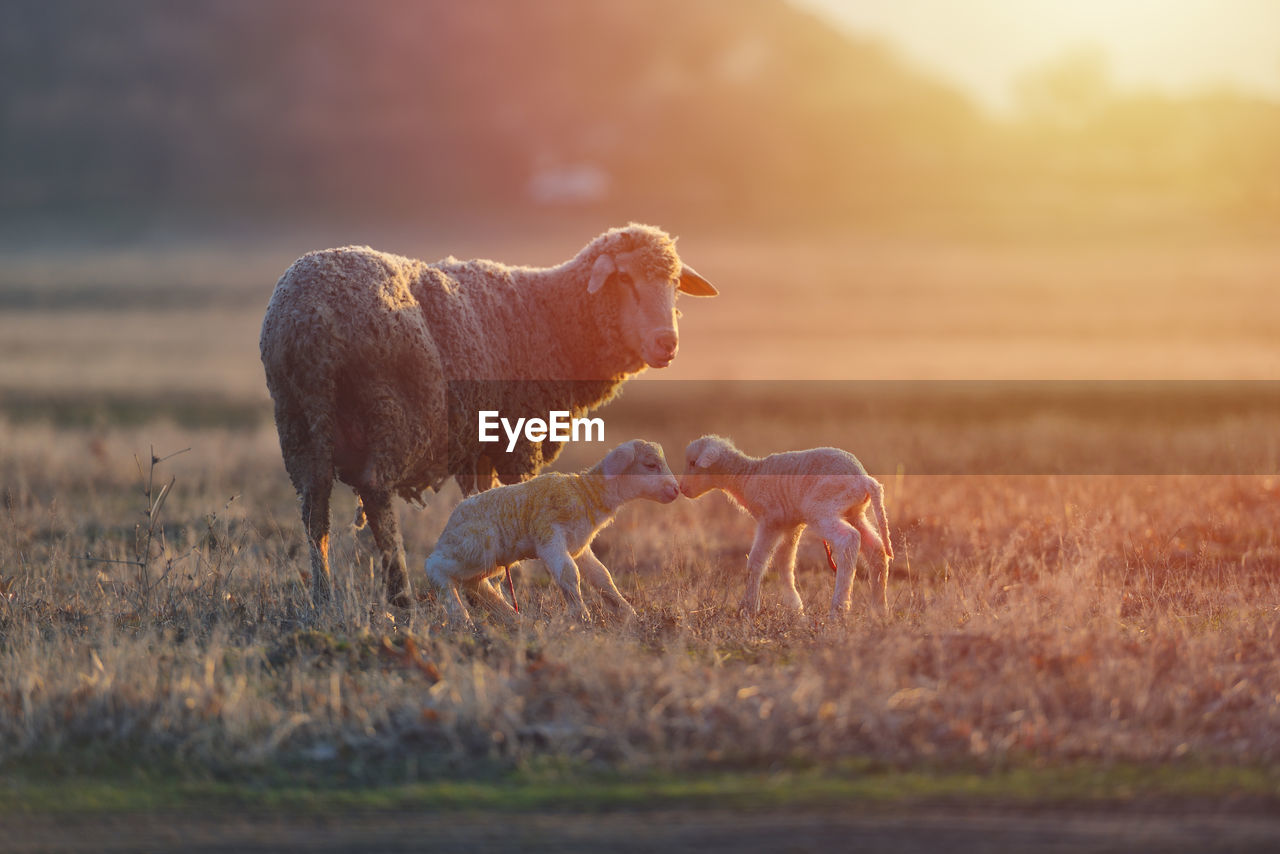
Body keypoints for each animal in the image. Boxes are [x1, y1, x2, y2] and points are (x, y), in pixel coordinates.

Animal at [259, 220, 721, 606]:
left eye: (675, 284)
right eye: (624, 278)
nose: (666, 343)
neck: (550, 318)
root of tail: (306, 321)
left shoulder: (478, 445)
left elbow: (482, 498)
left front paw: (495, 580)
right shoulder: (519, 435)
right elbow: (520, 496)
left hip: (298, 426)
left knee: (314, 511)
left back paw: (324, 599)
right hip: (389, 414)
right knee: (375, 497)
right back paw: (400, 598)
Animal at [424, 440, 680, 627]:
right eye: (651, 465)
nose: (676, 489)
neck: (585, 494)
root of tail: (447, 527)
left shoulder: (580, 546)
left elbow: (602, 577)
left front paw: (628, 613)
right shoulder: (549, 536)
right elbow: (568, 573)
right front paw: (581, 616)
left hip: (491, 559)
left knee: (474, 583)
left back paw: (512, 617)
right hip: (475, 546)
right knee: (435, 566)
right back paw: (461, 617)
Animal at [680, 437, 890, 617]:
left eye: (693, 463)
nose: (682, 489)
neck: (747, 476)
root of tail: (865, 480)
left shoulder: (770, 521)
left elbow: (756, 562)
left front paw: (748, 608)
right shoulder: (791, 524)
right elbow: (785, 562)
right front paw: (795, 607)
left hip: (822, 507)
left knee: (849, 539)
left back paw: (838, 610)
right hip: (853, 512)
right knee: (876, 548)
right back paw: (878, 609)